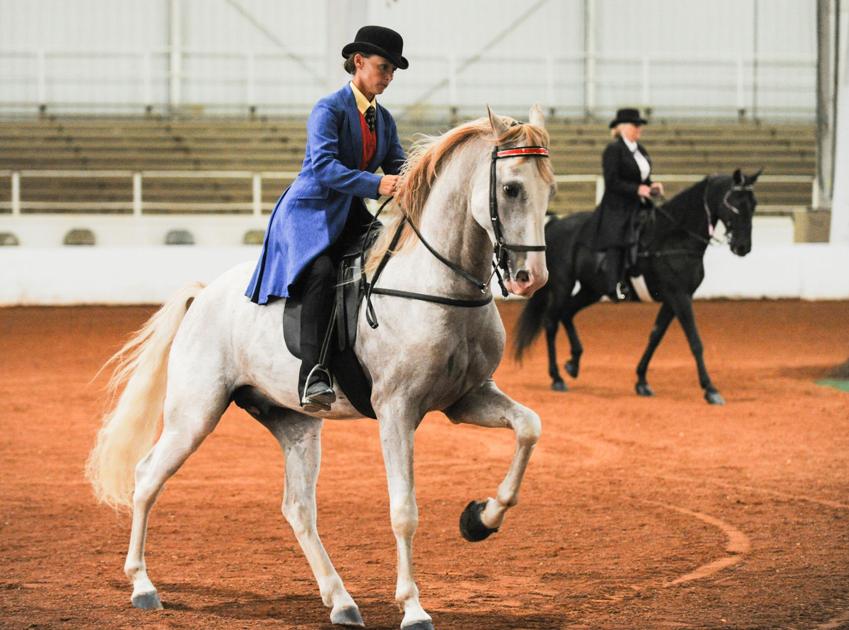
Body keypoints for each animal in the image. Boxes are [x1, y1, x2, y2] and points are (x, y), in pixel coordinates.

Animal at [85, 106, 556, 630]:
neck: (437, 284)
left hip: (295, 423)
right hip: (194, 415)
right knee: (148, 478)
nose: (531, 278)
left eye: (549, 187)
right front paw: (413, 607)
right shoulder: (397, 411)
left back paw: (341, 600)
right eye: (511, 188)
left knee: (298, 509)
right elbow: (404, 510)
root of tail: (204, 295)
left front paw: (480, 519)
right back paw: (143, 585)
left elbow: (529, 427)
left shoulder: (467, 398)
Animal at [514, 169, 760, 405]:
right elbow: (695, 341)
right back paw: (557, 377)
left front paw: (642, 381)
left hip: (592, 289)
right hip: (564, 285)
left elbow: (655, 336)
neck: (675, 238)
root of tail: (556, 223)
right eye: (733, 202)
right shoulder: (680, 297)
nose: (743, 247)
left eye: (753, 204)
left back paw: (573, 364)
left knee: (567, 313)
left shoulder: (673, 299)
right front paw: (710, 389)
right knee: (551, 322)